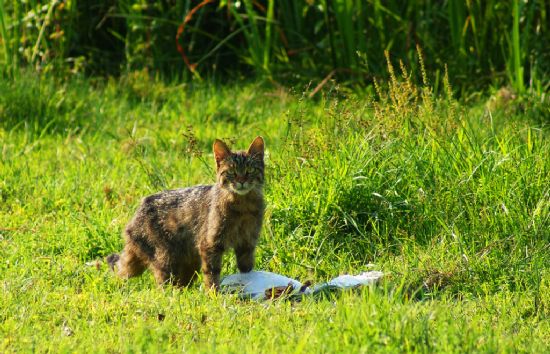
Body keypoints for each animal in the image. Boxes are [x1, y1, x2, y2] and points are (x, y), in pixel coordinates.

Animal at [106, 136, 266, 290]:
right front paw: (214, 294)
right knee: (164, 286)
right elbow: (212, 274)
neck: (243, 207)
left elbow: (246, 268)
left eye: (250, 170)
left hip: (188, 263)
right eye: (232, 172)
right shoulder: (210, 244)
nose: (242, 181)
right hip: (165, 258)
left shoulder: (247, 243)